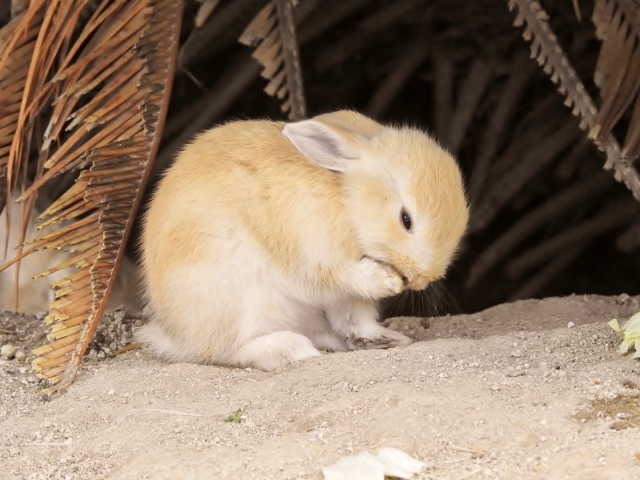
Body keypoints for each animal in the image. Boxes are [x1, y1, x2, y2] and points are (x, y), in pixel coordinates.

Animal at [139, 110, 470, 370]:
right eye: (406, 219)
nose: (420, 279)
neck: (347, 201)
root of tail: (174, 334)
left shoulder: (347, 296)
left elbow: (354, 316)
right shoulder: (320, 256)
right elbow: (346, 275)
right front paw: (387, 282)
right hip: (238, 298)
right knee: (229, 349)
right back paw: (292, 349)